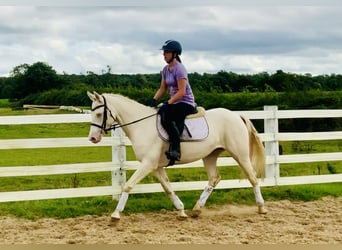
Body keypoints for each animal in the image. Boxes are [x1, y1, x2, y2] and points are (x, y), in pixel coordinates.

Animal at [87, 91, 268, 220]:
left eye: (98, 114)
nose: (93, 138)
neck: (142, 126)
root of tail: (236, 115)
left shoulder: (147, 164)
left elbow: (128, 185)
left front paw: (115, 214)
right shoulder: (156, 167)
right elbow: (168, 188)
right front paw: (181, 211)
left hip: (240, 155)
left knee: (252, 178)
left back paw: (261, 207)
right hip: (210, 155)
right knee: (214, 179)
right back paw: (196, 209)